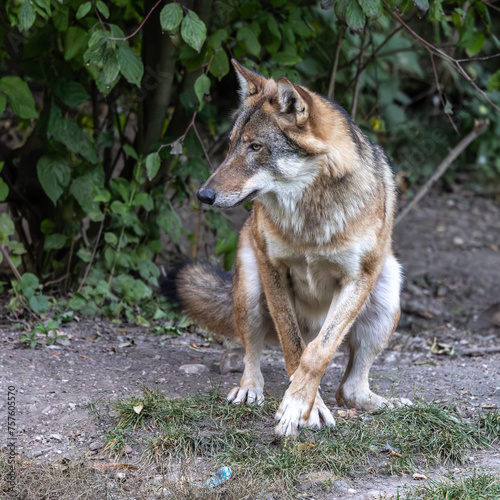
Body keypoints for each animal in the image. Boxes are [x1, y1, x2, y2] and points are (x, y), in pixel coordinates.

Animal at [164, 57, 410, 434]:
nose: (203, 195)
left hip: (387, 291)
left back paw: (387, 404)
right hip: (250, 290)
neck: (309, 216)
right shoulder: (274, 269)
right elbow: (293, 345)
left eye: (255, 147)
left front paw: (298, 405)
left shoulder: (359, 278)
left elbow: (318, 353)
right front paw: (309, 408)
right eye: (232, 144)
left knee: (349, 389)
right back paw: (248, 389)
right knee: (251, 352)